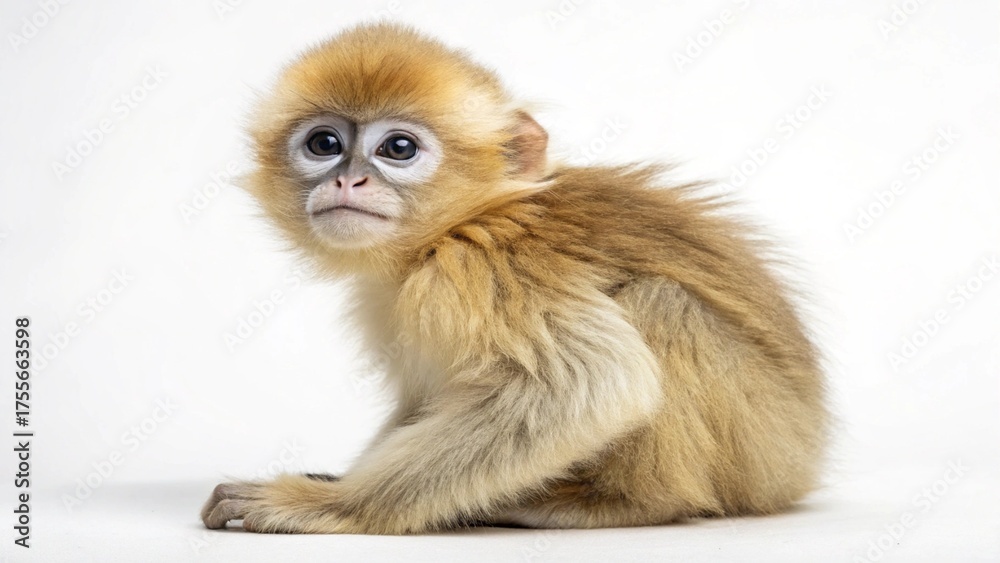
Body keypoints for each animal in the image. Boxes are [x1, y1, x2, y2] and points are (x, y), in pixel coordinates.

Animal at [201, 22, 827, 534]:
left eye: (398, 148)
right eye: (324, 144)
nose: (347, 181)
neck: (462, 223)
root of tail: (804, 454)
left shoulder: (482, 268)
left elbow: (591, 384)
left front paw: (330, 505)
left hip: (762, 446)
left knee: (663, 301)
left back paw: (624, 502)